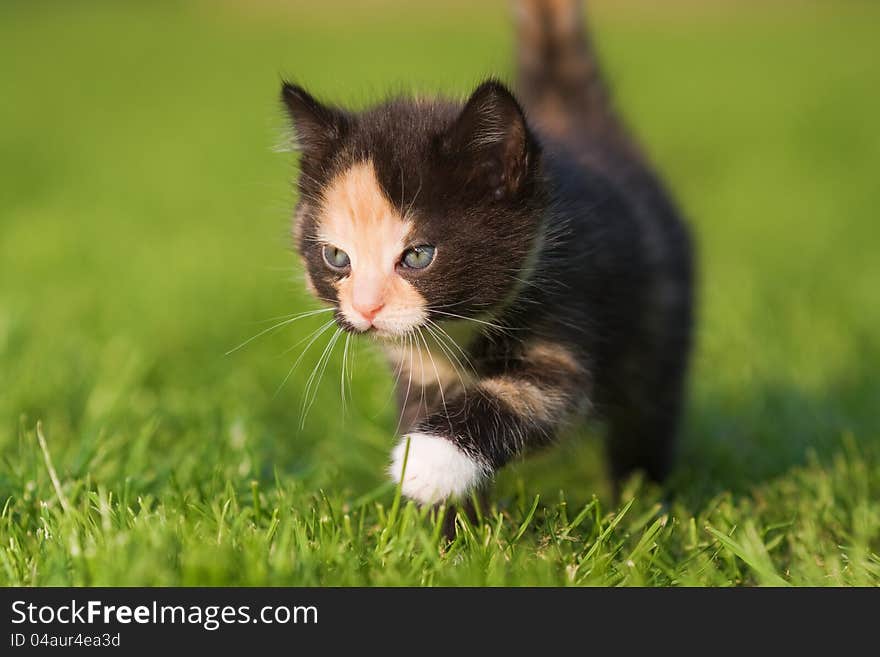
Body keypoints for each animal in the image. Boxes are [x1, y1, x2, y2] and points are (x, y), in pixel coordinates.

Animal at [282, 0, 696, 504]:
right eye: (337, 258)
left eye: (418, 256)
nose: (366, 308)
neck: (460, 331)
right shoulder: (419, 373)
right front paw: (448, 518)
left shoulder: (569, 315)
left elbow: (531, 395)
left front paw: (427, 461)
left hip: (660, 321)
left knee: (649, 413)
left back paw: (643, 498)